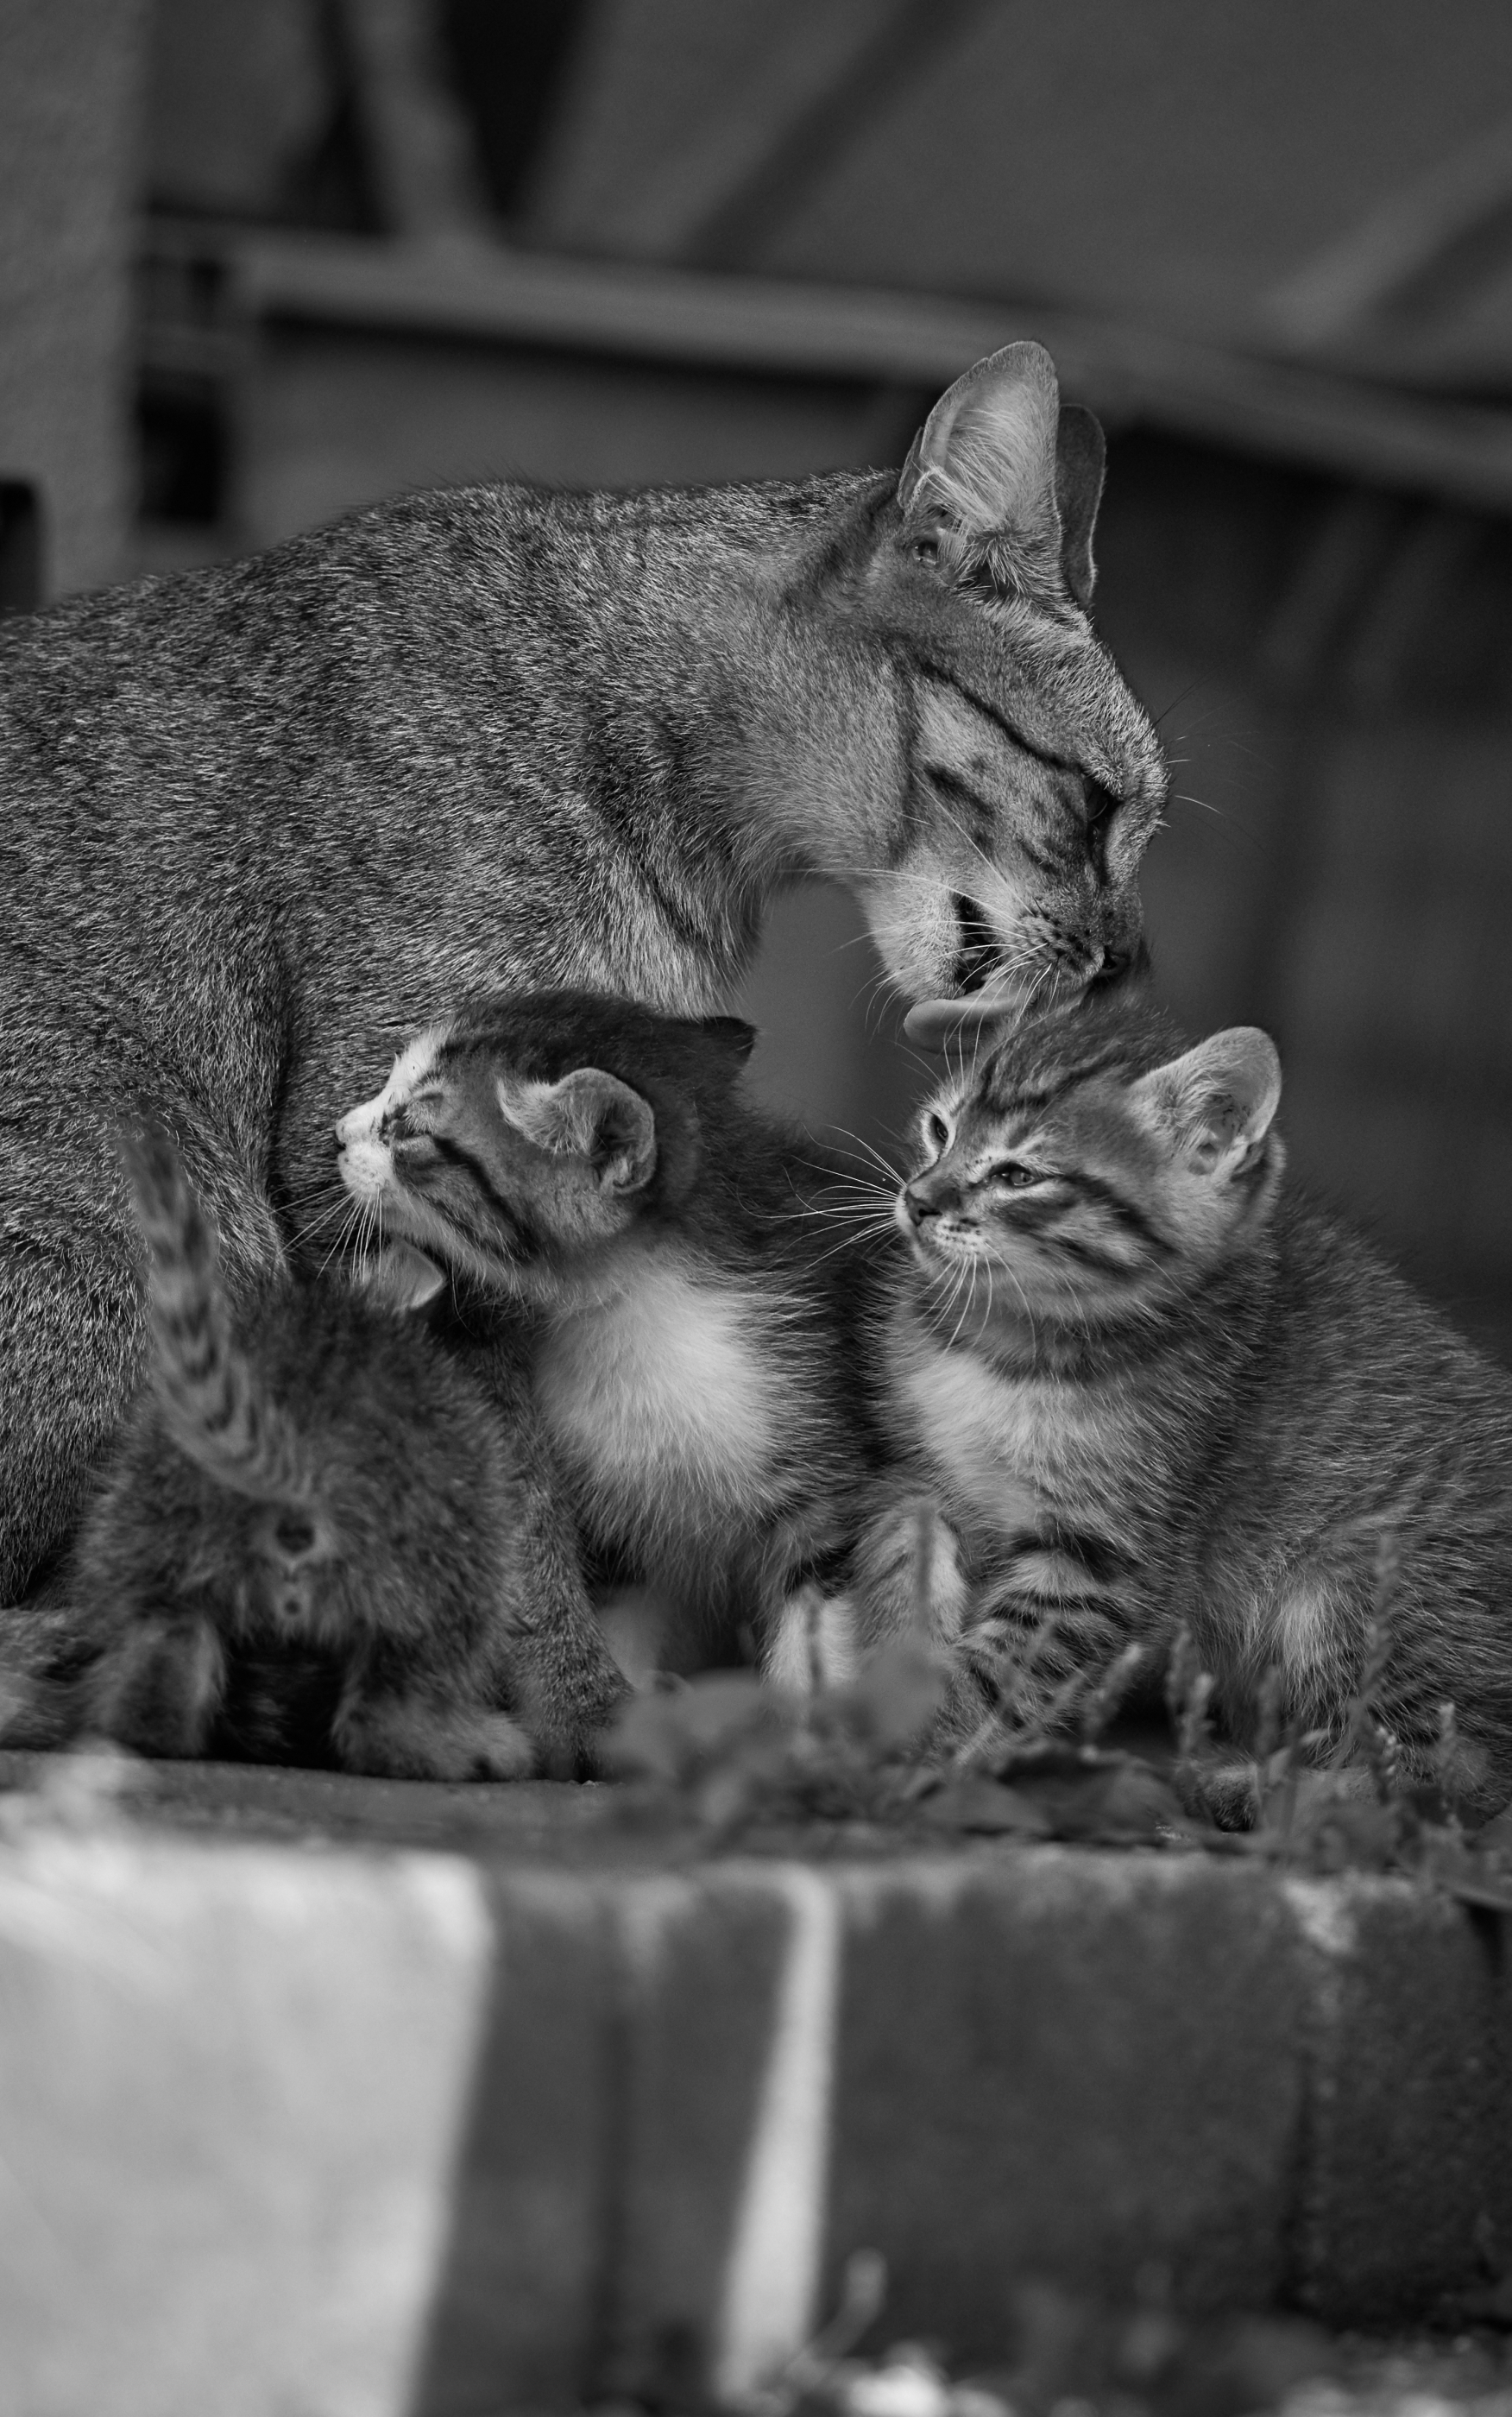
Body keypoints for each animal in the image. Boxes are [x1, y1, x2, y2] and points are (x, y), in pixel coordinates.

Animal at [328, 981, 869, 1682]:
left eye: (408, 1130)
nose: (337, 1134)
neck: (636, 1318)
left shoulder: (823, 1484)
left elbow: (821, 1637)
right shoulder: (616, 1527)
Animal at [854, 991, 1507, 1808]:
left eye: (1017, 1175)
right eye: (938, 1131)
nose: (916, 1199)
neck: (1011, 1342)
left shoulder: (1107, 1553)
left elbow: (1004, 1665)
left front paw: (903, 1742)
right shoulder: (922, 1471)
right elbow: (897, 1544)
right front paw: (891, 1663)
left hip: (1354, 1584)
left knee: (1456, 1775)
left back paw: (1248, 1792)